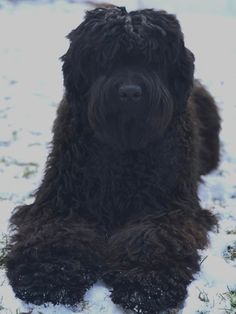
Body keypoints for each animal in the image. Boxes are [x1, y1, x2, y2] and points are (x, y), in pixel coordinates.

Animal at [5, 7, 220, 314]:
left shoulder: (166, 210)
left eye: (153, 58)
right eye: (105, 56)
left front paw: (147, 285)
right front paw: (50, 275)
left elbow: (151, 238)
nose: (130, 92)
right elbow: (56, 234)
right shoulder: (61, 203)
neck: (123, 150)